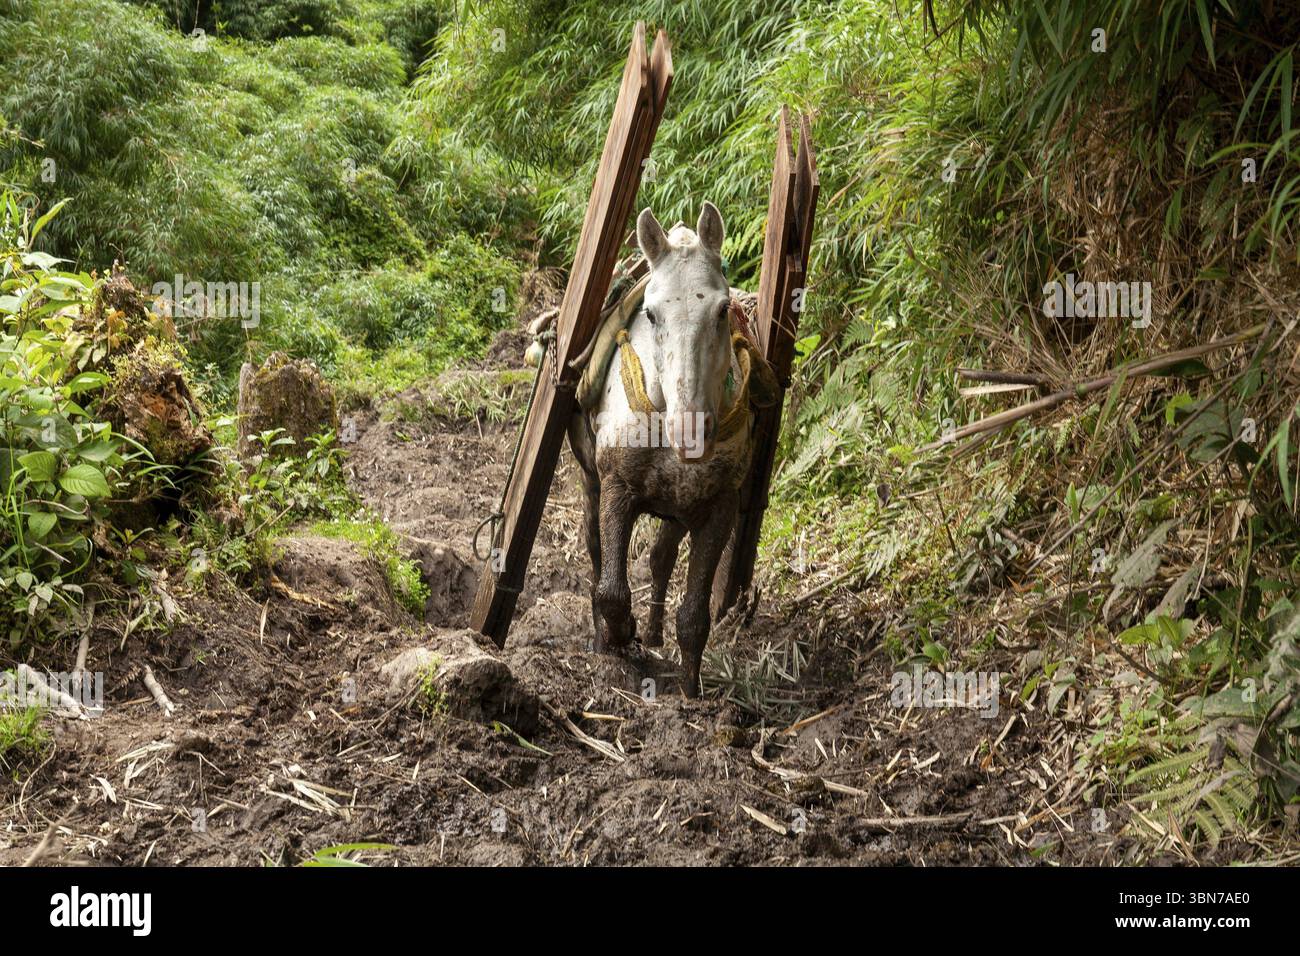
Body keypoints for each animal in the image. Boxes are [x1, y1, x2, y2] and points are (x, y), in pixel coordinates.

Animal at [567, 202, 775, 697]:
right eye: (651, 313)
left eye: (722, 309)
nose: (690, 432)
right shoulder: (617, 490)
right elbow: (612, 592)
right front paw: (619, 640)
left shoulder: (717, 507)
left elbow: (694, 616)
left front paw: (691, 690)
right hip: (591, 485)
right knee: (597, 555)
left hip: (679, 509)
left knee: (660, 559)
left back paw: (656, 631)